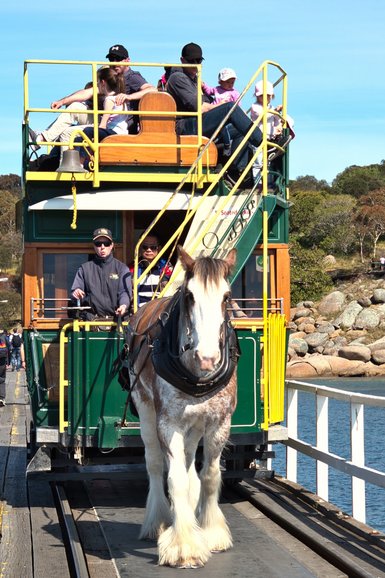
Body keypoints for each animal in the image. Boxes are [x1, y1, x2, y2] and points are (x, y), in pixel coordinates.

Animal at [127, 245, 238, 564]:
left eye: (226, 297)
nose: (208, 358)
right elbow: (175, 478)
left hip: (196, 423)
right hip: (145, 411)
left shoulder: (219, 422)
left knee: (189, 461)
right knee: (154, 463)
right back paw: (158, 520)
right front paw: (184, 544)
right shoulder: (168, 422)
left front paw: (211, 533)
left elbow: (210, 475)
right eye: (189, 296)